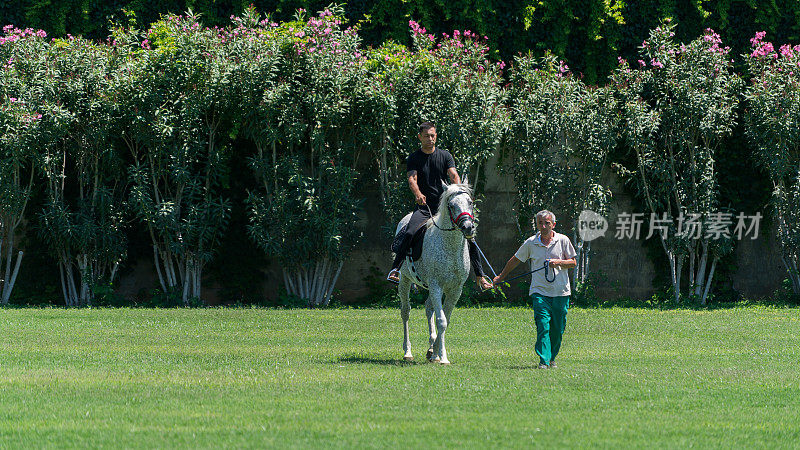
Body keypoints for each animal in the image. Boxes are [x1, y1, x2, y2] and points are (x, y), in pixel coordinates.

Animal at [396, 183, 476, 366]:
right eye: (451, 205)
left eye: (469, 202)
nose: (468, 227)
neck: (450, 247)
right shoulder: (436, 286)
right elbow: (442, 321)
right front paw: (443, 357)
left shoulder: (455, 290)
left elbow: (445, 319)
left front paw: (435, 354)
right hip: (404, 281)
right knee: (405, 312)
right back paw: (407, 351)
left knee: (428, 307)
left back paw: (431, 348)